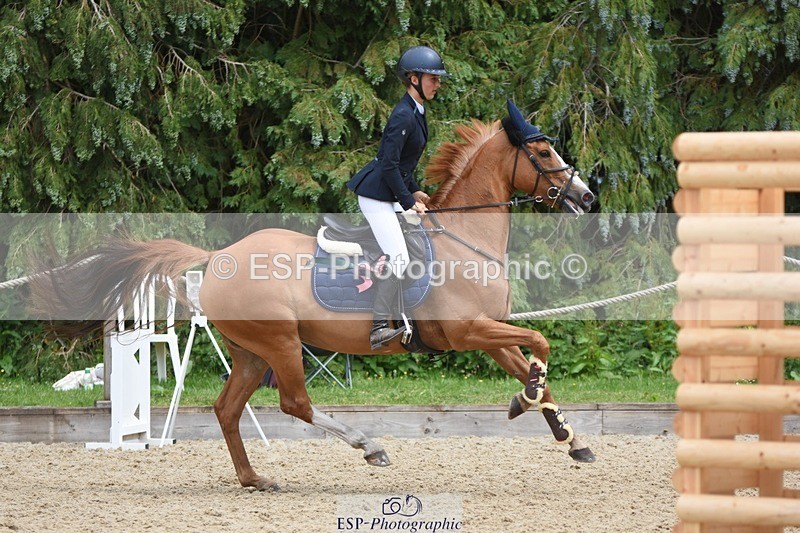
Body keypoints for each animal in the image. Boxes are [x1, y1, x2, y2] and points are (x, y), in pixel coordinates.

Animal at [31, 100, 597, 491]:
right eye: (542, 152)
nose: (587, 197)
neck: (466, 239)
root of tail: (217, 258)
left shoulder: (489, 334)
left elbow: (535, 367)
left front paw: (571, 441)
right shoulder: (468, 331)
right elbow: (541, 345)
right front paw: (526, 405)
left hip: (251, 351)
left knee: (227, 410)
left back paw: (255, 479)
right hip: (280, 342)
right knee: (295, 402)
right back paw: (369, 447)